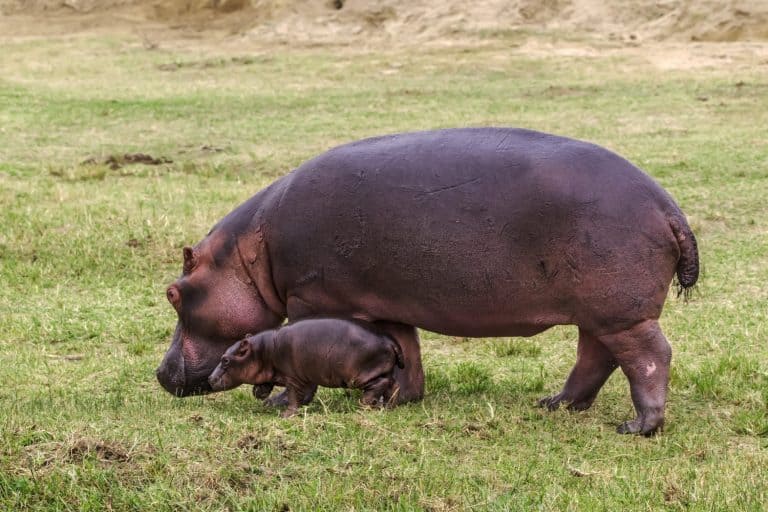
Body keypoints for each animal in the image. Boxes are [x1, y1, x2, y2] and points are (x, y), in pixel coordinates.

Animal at [208, 318, 405, 416]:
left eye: (225, 360)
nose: (210, 378)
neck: (262, 349)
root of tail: (390, 340)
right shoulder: (304, 375)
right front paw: (261, 394)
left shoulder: (293, 377)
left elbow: (294, 395)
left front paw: (286, 414)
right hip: (383, 370)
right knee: (394, 384)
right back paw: (389, 407)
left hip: (360, 376)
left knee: (381, 384)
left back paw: (364, 404)